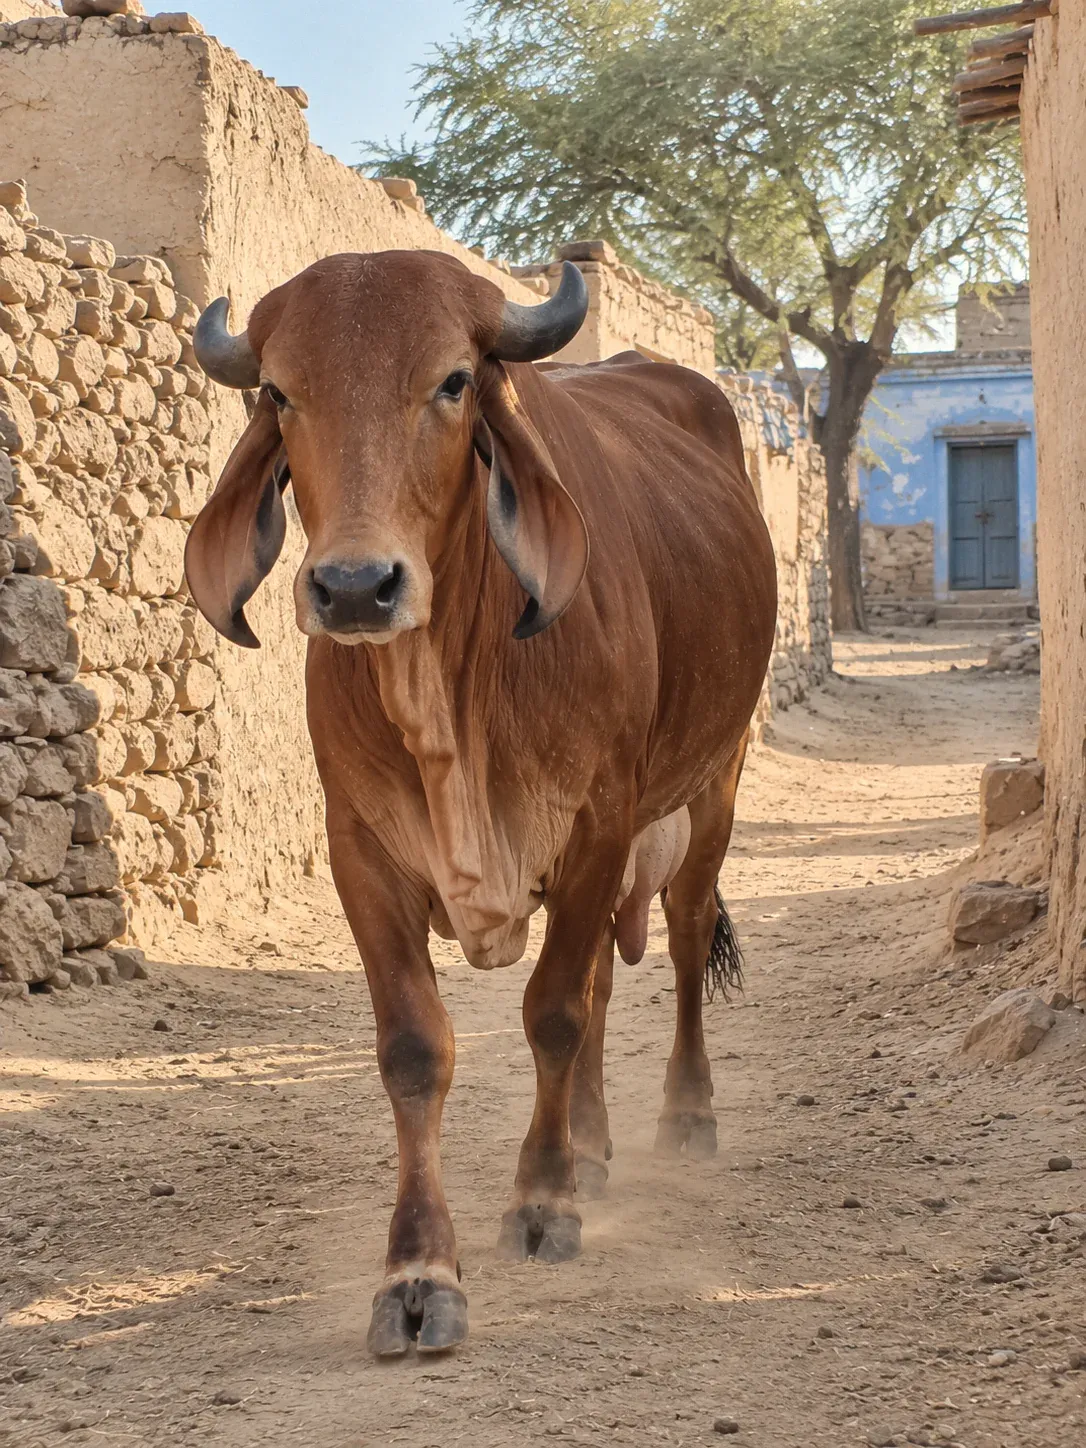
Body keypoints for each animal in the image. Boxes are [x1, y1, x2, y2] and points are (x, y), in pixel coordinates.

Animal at [185, 249, 777, 1357]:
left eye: (454, 381)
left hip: (713, 781)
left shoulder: (597, 824)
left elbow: (553, 1014)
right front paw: (418, 1273)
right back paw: (591, 1141)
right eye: (280, 392)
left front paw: (542, 1203)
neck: (448, 694)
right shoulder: (360, 849)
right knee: (602, 983)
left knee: (677, 943)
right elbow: (419, 1048)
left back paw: (683, 1117)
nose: (356, 588)